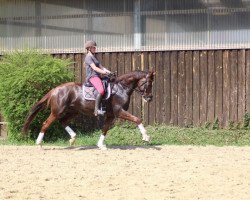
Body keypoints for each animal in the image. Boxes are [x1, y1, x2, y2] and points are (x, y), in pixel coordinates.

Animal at [22, 69, 154, 149]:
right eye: (147, 84)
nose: (149, 98)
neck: (121, 88)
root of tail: (55, 90)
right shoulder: (119, 112)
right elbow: (137, 119)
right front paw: (146, 137)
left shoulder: (110, 115)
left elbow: (105, 129)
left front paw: (100, 145)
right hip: (57, 112)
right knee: (46, 124)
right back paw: (39, 143)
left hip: (73, 111)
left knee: (63, 121)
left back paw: (73, 138)